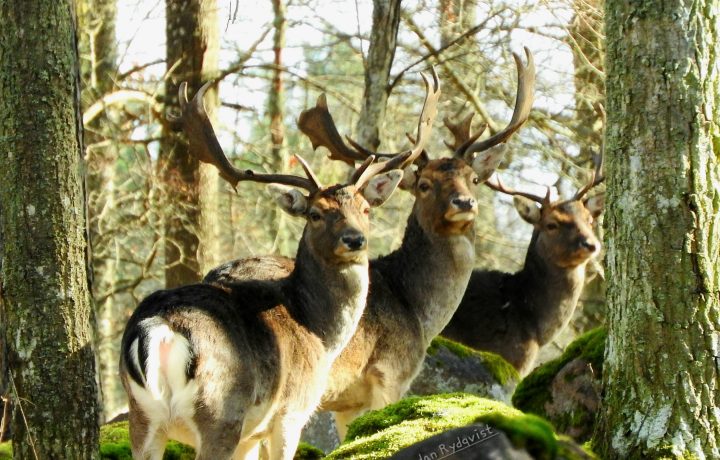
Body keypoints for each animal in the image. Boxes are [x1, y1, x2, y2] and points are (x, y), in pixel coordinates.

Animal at [115, 80, 420, 460]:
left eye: (365, 208)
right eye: (315, 214)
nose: (355, 240)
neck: (318, 330)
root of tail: (161, 329)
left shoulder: (251, 434)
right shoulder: (293, 411)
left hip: (142, 418)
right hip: (220, 413)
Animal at [202, 48, 536, 440]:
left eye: (473, 179)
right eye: (424, 185)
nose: (464, 203)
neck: (418, 311)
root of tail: (218, 275)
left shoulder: (347, 402)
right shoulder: (390, 375)